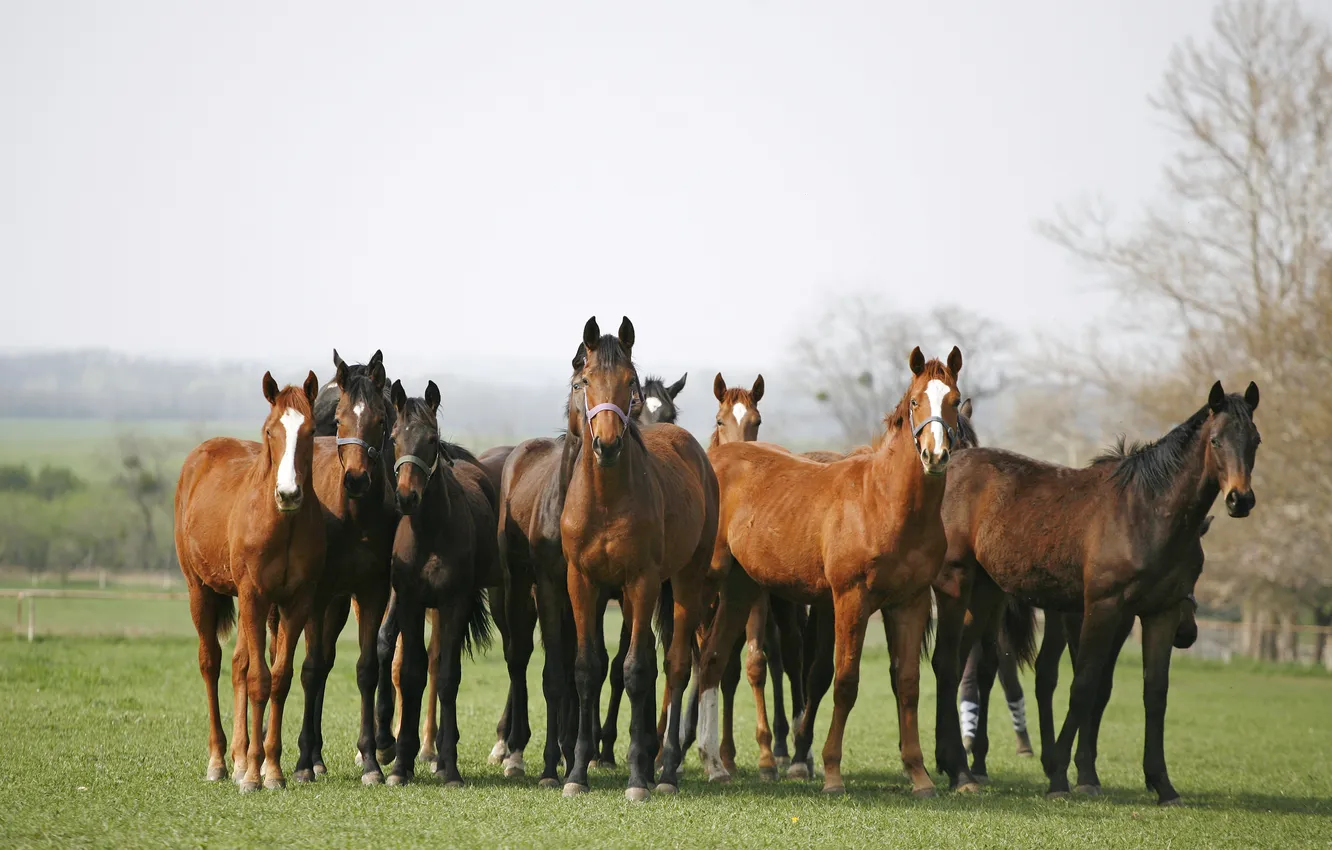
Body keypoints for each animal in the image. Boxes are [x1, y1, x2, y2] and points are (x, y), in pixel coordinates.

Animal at [174, 370, 325, 794]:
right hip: (200, 590)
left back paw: (241, 759)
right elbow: (259, 678)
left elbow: (279, 679)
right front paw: (256, 775)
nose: (288, 493)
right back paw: (220, 761)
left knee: (238, 662)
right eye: (271, 430)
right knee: (211, 663)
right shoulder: (255, 596)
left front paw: (270, 768)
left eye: (310, 430)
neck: (280, 524)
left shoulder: (295, 603)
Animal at [380, 383, 500, 788]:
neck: (430, 534)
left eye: (431, 439)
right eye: (394, 438)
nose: (406, 496)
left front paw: (449, 767)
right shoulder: (410, 602)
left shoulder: (454, 603)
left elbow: (448, 677)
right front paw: (400, 764)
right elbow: (411, 674)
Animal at [556, 317, 719, 804]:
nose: (608, 445)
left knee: (676, 666)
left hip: (685, 582)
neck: (607, 501)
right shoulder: (582, 582)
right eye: (584, 381)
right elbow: (587, 668)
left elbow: (634, 669)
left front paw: (635, 777)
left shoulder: (642, 581)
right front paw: (577, 771)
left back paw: (663, 769)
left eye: (629, 382)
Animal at [697, 346, 969, 799]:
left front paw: (919, 776)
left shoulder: (909, 603)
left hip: (740, 589)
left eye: (954, 400)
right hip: (704, 586)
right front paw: (831, 772)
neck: (883, 502)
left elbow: (908, 684)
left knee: (712, 661)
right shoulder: (850, 599)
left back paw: (714, 764)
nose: (935, 456)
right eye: (915, 402)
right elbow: (844, 681)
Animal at [932, 381, 1262, 804]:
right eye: (1217, 440)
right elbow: (1084, 685)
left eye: (1255, 439)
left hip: (986, 593)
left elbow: (1155, 692)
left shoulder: (1161, 612)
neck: (1146, 510)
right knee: (947, 662)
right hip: (955, 584)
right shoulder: (1103, 608)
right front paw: (1060, 775)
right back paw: (961, 769)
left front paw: (1162, 784)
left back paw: (953, 765)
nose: (1241, 499)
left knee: (959, 666)